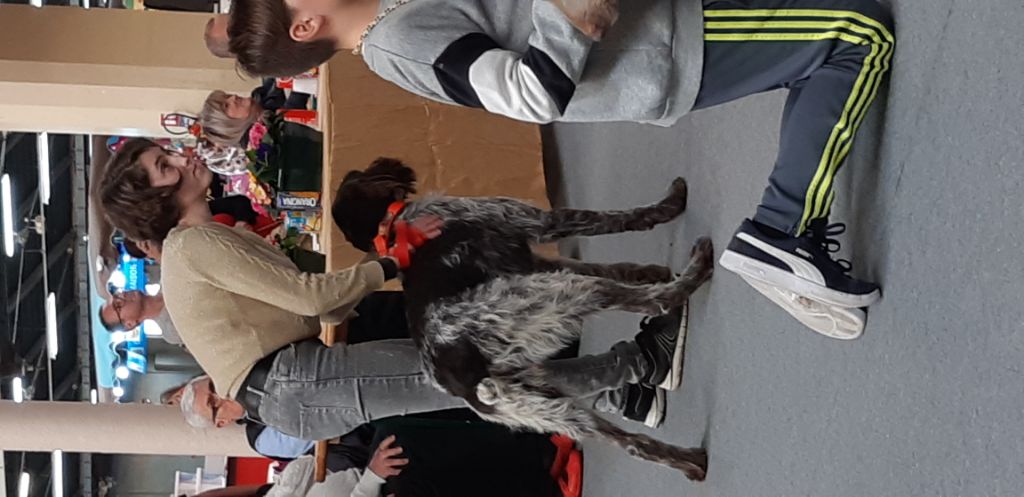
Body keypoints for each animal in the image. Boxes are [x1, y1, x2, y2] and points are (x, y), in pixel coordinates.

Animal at [331, 157, 716, 477]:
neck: (394, 223)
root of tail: (468, 381)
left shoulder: (533, 261)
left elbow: (613, 266)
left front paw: (651, 270)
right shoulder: (538, 224)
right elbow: (612, 221)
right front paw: (671, 205)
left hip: (549, 408)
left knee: (631, 444)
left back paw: (691, 463)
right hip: (559, 295)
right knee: (644, 301)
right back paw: (692, 276)